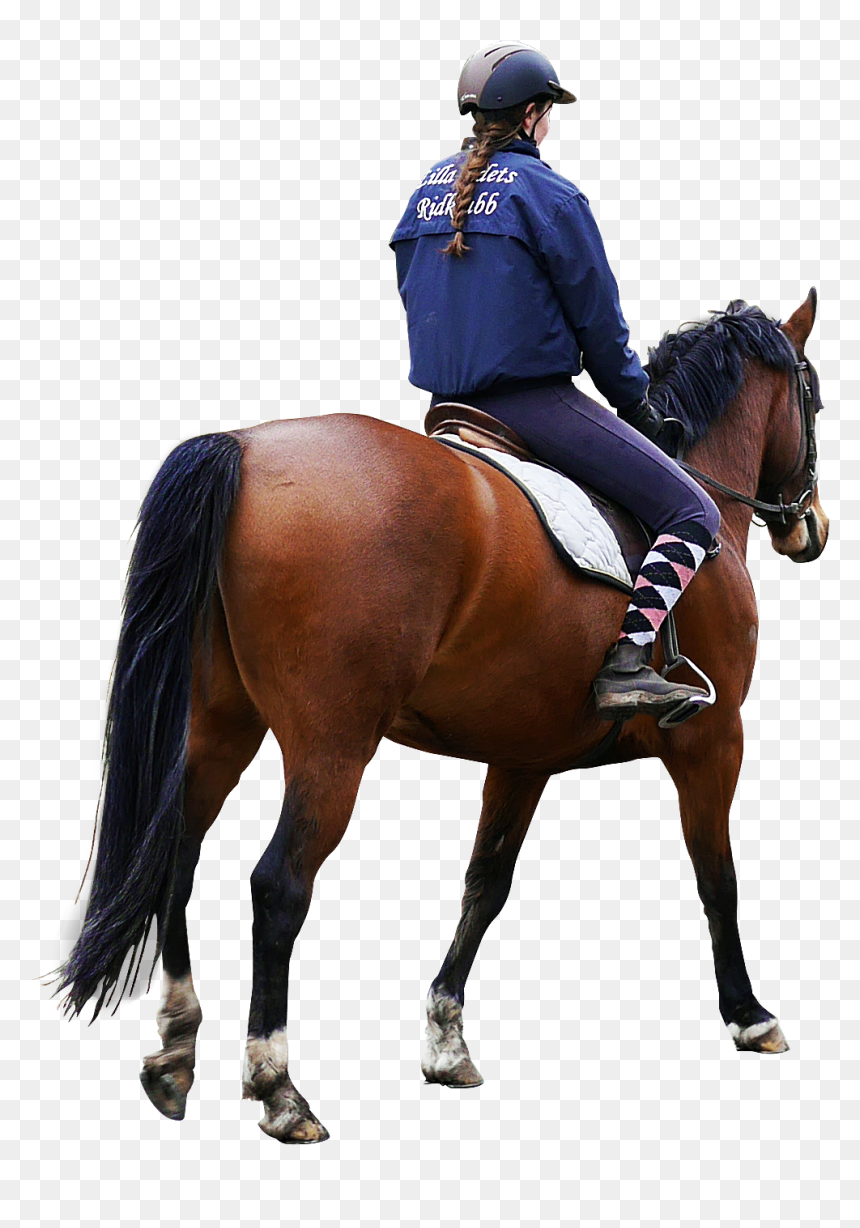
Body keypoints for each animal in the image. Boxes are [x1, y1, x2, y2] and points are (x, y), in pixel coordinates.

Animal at [52, 291, 827, 1144]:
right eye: (815, 399)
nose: (811, 527)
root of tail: (246, 451)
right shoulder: (713, 742)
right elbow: (718, 878)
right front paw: (750, 1015)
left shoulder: (523, 756)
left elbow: (485, 886)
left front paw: (447, 1041)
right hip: (332, 748)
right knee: (278, 886)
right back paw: (279, 1087)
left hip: (218, 728)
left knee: (178, 861)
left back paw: (176, 1051)